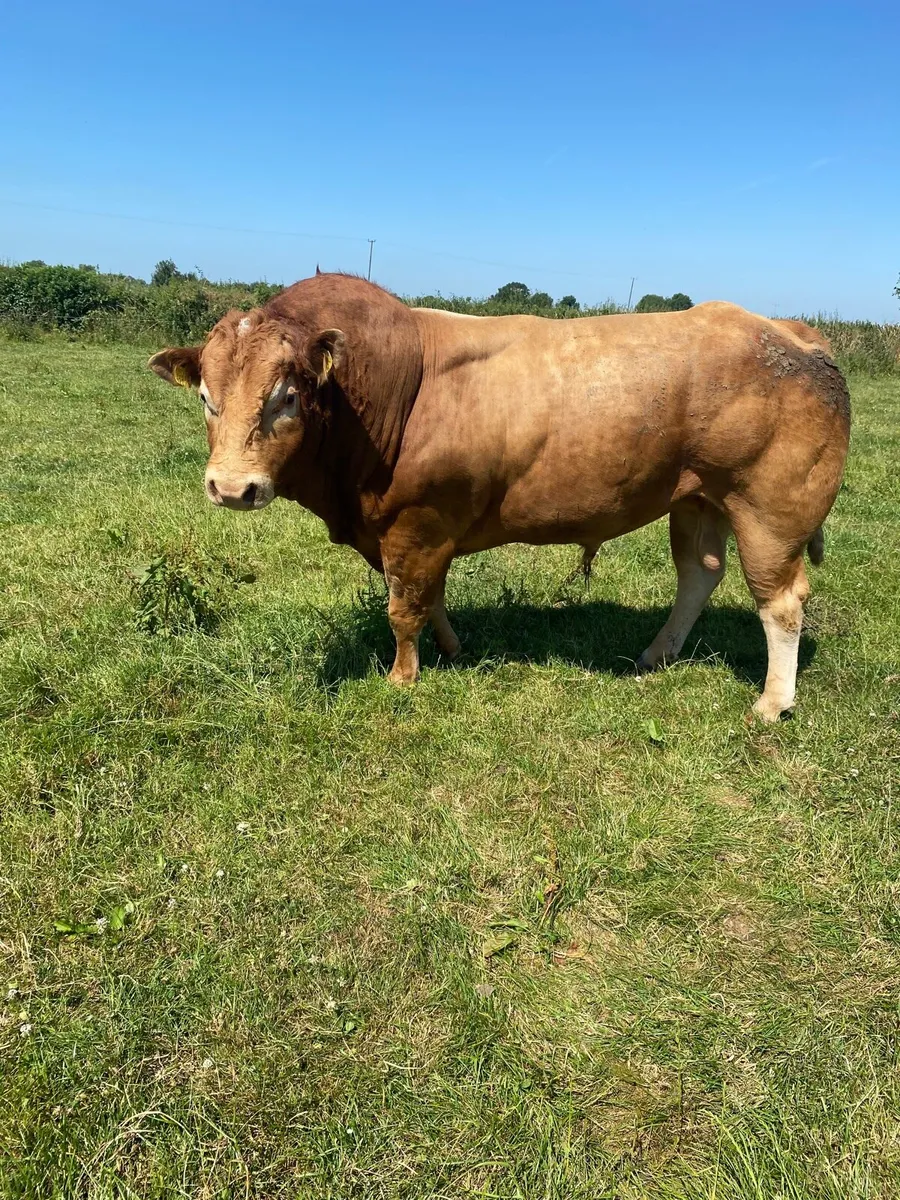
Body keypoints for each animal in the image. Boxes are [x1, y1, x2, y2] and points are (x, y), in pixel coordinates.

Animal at [149, 273, 850, 721]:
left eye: (286, 397)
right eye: (206, 397)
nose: (231, 487)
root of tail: (790, 330)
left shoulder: (416, 523)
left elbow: (403, 608)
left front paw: (403, 678)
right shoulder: (417, 534)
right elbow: (428, 598)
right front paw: (453, 649)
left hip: (769, 510)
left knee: (782, 603)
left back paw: (771, 703)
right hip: (698, 499)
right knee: (699, 574)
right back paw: (656, 654)